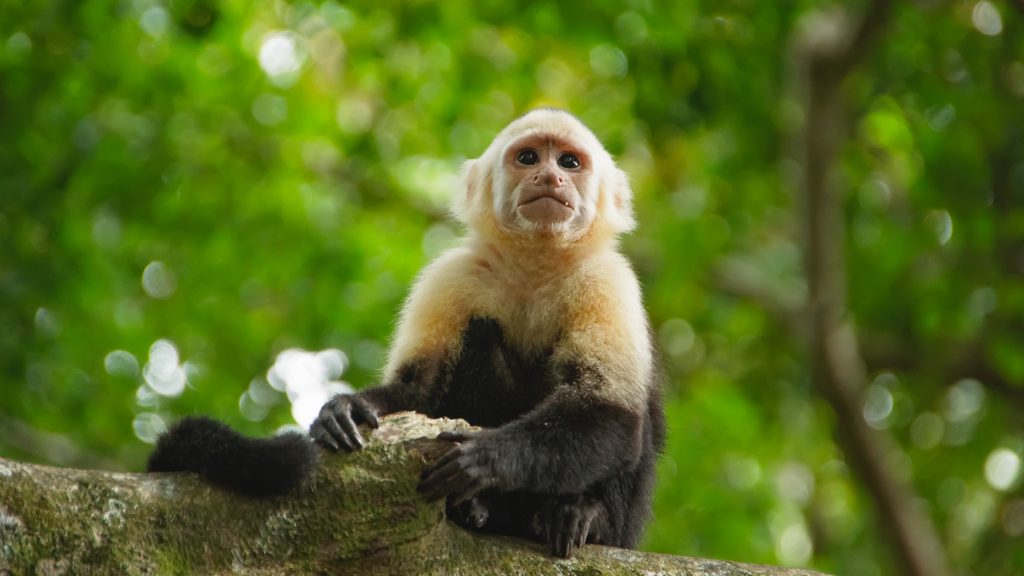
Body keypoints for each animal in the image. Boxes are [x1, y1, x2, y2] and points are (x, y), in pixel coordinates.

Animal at [310, 108, 666, 558]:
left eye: (569, 162)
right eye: (528, 158)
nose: (550, 177)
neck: (537, 264)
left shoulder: (606, 279)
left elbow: (611, 411)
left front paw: (484, 460)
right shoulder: (452, 274)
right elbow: (418, 390)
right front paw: (349, 408)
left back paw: (583, 516)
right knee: (479, 334)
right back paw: (477, 510)